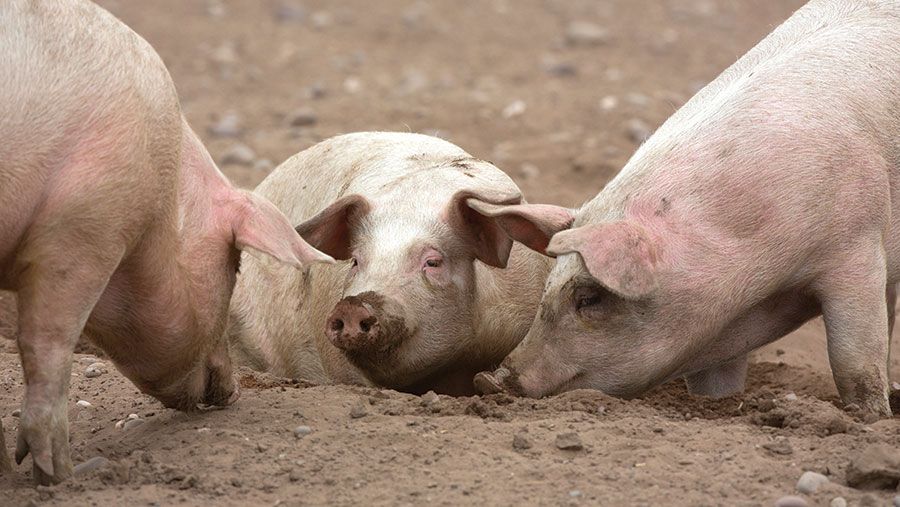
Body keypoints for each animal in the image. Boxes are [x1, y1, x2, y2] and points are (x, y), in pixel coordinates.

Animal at [474, 0, 896, 416]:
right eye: (546, 288)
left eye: (589, 298)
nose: (490, 380)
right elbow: (714, 384)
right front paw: (718, 408)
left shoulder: (857, 245)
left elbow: (855, 361)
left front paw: (870, 418)